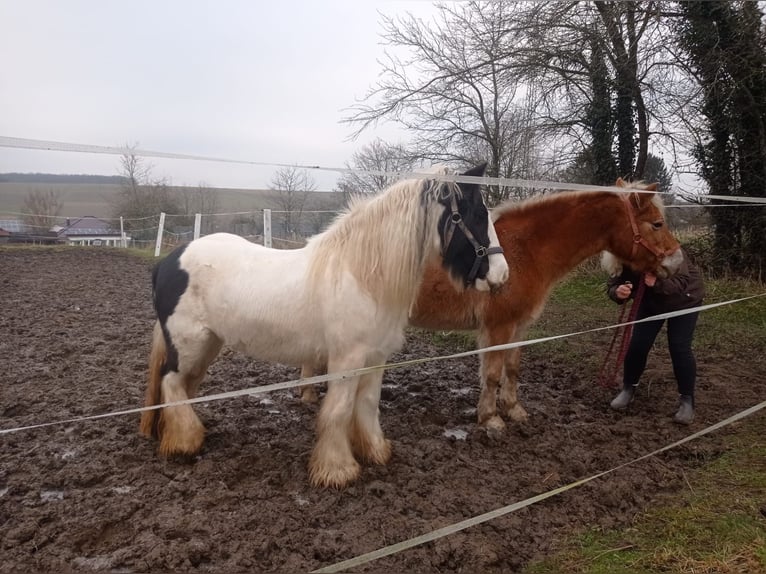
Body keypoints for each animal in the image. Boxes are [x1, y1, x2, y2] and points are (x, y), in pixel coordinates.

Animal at [140, 164, 510, 488]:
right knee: (171, 382)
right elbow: (339, 410)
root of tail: (168, 262)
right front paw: (337, 470)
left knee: (182, 386)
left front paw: (376, 451)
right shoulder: (346, 360)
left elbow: (367, 405)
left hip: (207, 345)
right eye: (478, 215)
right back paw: (186, 442)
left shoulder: (376, 359)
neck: (362, 274)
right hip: (189, 344)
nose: (502, 274)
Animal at [300, 179, 684, 432]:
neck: (525, 249)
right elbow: (493, 373)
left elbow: (512, 369)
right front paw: (491, 418)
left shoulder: (519, 326)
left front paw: (514, 410)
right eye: (656, 223)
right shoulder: (497, 327)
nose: (676, 261)